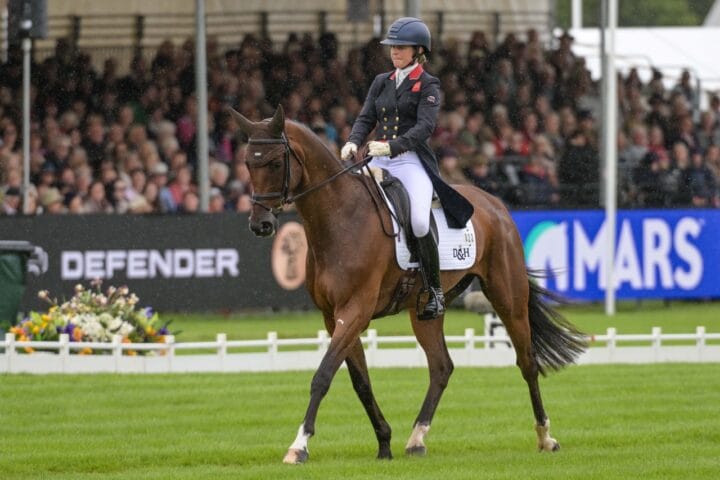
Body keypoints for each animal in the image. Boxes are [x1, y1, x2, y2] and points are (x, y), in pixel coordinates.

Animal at [228, 105, 586, 464]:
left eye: (275, 163)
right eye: (247, 163)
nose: (260, 224)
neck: (340, 218)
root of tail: (496, 205)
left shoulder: (355, 311)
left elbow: (323, 375)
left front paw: (299, 445)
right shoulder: (334, 317)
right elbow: (360, 382)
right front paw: (384, 442)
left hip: (507, 298)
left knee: (527, 362)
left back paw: (545, 437)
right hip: (425, 310)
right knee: (441, 366)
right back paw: (416, 438)